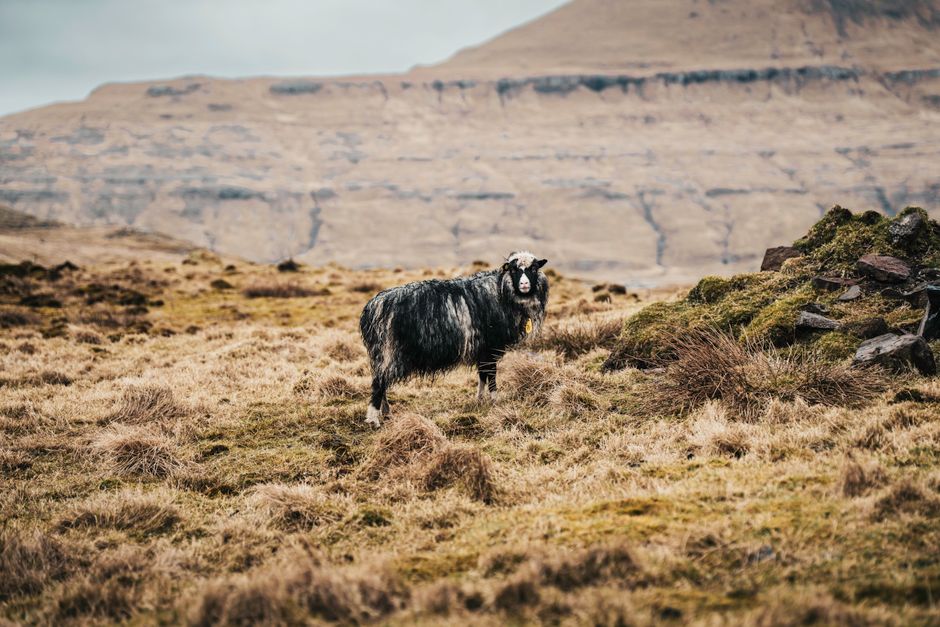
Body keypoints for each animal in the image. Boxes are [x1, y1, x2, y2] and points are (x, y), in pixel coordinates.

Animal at [359, 251, 549, 427]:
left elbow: (482, 375)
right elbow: (491, 376)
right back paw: (374, 420)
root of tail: (372, 307)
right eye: (514, 270)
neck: (501, 291)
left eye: (534, 268)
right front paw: (495, 401)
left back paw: (386, 413)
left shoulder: (482, 349)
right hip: (389, 352)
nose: (524, 284)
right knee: (378, 383)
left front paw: (480, 400)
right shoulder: (491, 347)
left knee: (382, 382)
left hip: (382, 355)